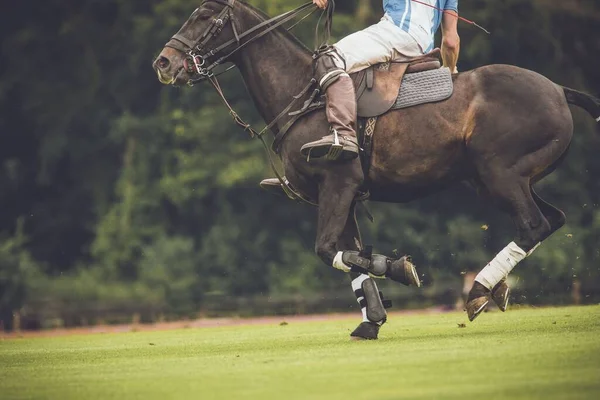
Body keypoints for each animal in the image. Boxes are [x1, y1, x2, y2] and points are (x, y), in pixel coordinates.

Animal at [155, 0, 600, 340]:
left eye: (203, 15)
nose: (163, 62)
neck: (300, 95)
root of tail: (559, 90)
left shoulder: (338, 183)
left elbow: (328, 249)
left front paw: (400, 269)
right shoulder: (342, 195)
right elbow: (347, 253)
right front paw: (372, 320)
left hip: (499, 173)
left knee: (533, 225)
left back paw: (478, 291)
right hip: (506, 177)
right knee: (551, 220)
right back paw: (496, 289)